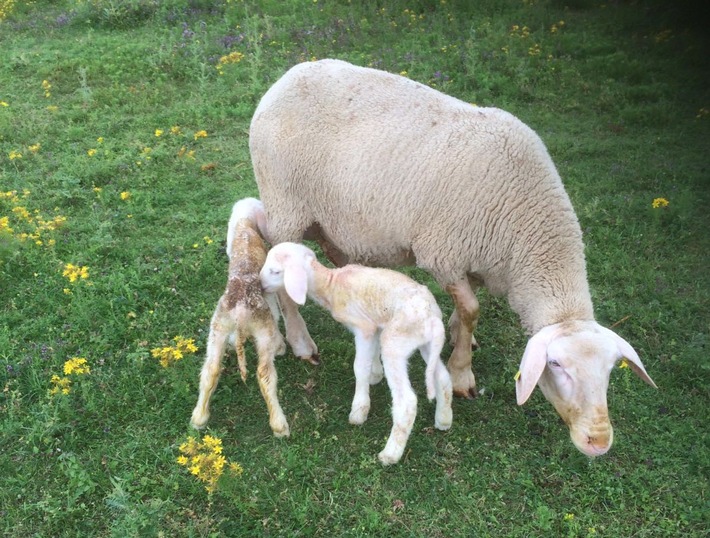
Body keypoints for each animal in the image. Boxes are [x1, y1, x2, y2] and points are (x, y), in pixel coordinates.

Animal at [192, 197, 320, 436]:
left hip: (218, 327)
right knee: (264, 373)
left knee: (210, 369)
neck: (245, 225)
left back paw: (199, 418)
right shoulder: (268, 297)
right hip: (262, 330)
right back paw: (279, 424)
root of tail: (240, 312)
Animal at [258, 241, 454, 462]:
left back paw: (390, 454)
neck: (330, 284)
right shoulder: (375, 326)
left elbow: (359, 367)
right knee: (443, 378)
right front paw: (375, 375)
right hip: (426, 343)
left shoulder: (363, 328)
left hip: (396, 342)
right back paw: (443, 420)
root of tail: (433, 319)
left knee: (407, 401)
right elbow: (372, 356)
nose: (259, 285)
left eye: (275, 271)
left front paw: (359, 410)